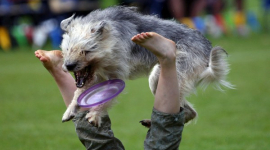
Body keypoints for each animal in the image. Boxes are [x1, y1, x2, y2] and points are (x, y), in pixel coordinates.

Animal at [60, 5, 232, 126]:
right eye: (67, 49)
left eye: (86, 51)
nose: (68, 66)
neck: (111, 38)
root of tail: (206, 48)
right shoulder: (97, 76)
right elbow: (79, 92)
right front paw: (70, 110)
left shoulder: (115, 76)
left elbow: (105, 98)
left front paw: (95, 115)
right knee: (189, 112)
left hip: (160, 77)